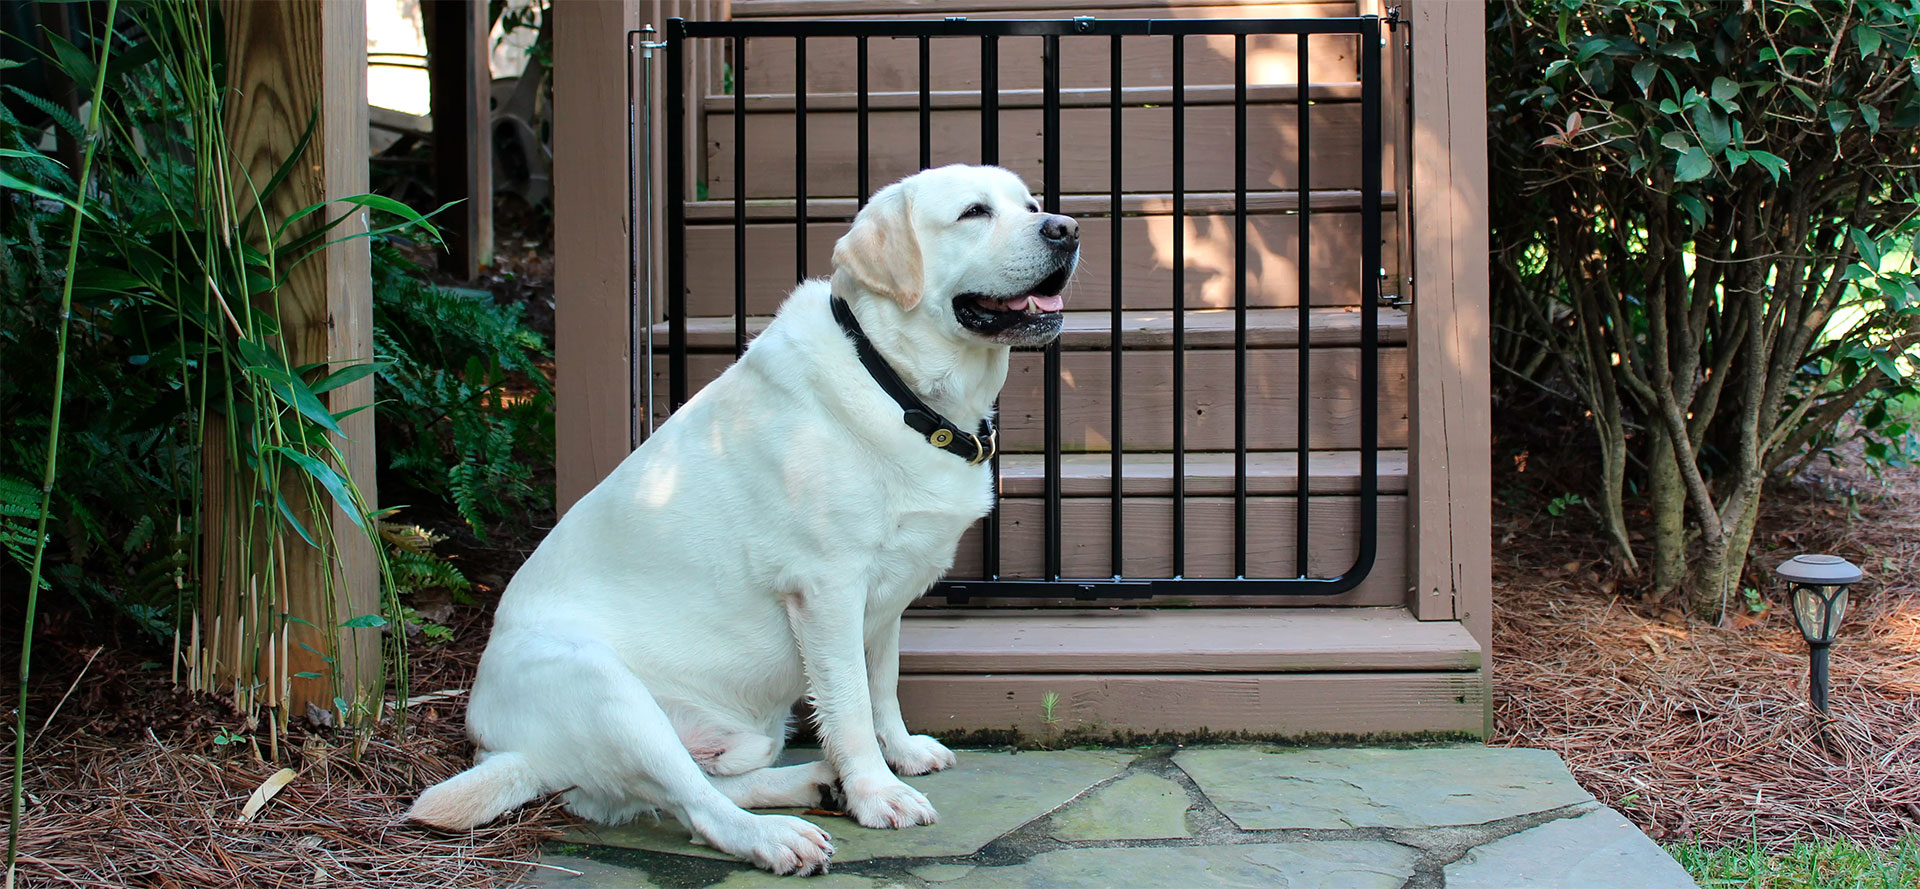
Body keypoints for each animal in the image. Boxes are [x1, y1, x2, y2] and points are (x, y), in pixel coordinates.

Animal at [410, 167, 1075, 875]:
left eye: (1031, 205)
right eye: (974, 213)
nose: (1066, 228)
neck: (897, 385)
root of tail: (507, 753)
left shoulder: (887, 597)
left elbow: (883, 685)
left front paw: (900, 755)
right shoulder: (827, 592)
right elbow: (850, 705)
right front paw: (877, 793)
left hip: (740, 735)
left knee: (701, 786)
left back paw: (815, 782)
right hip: (607, 691)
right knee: (698, 806)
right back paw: (778, 834)